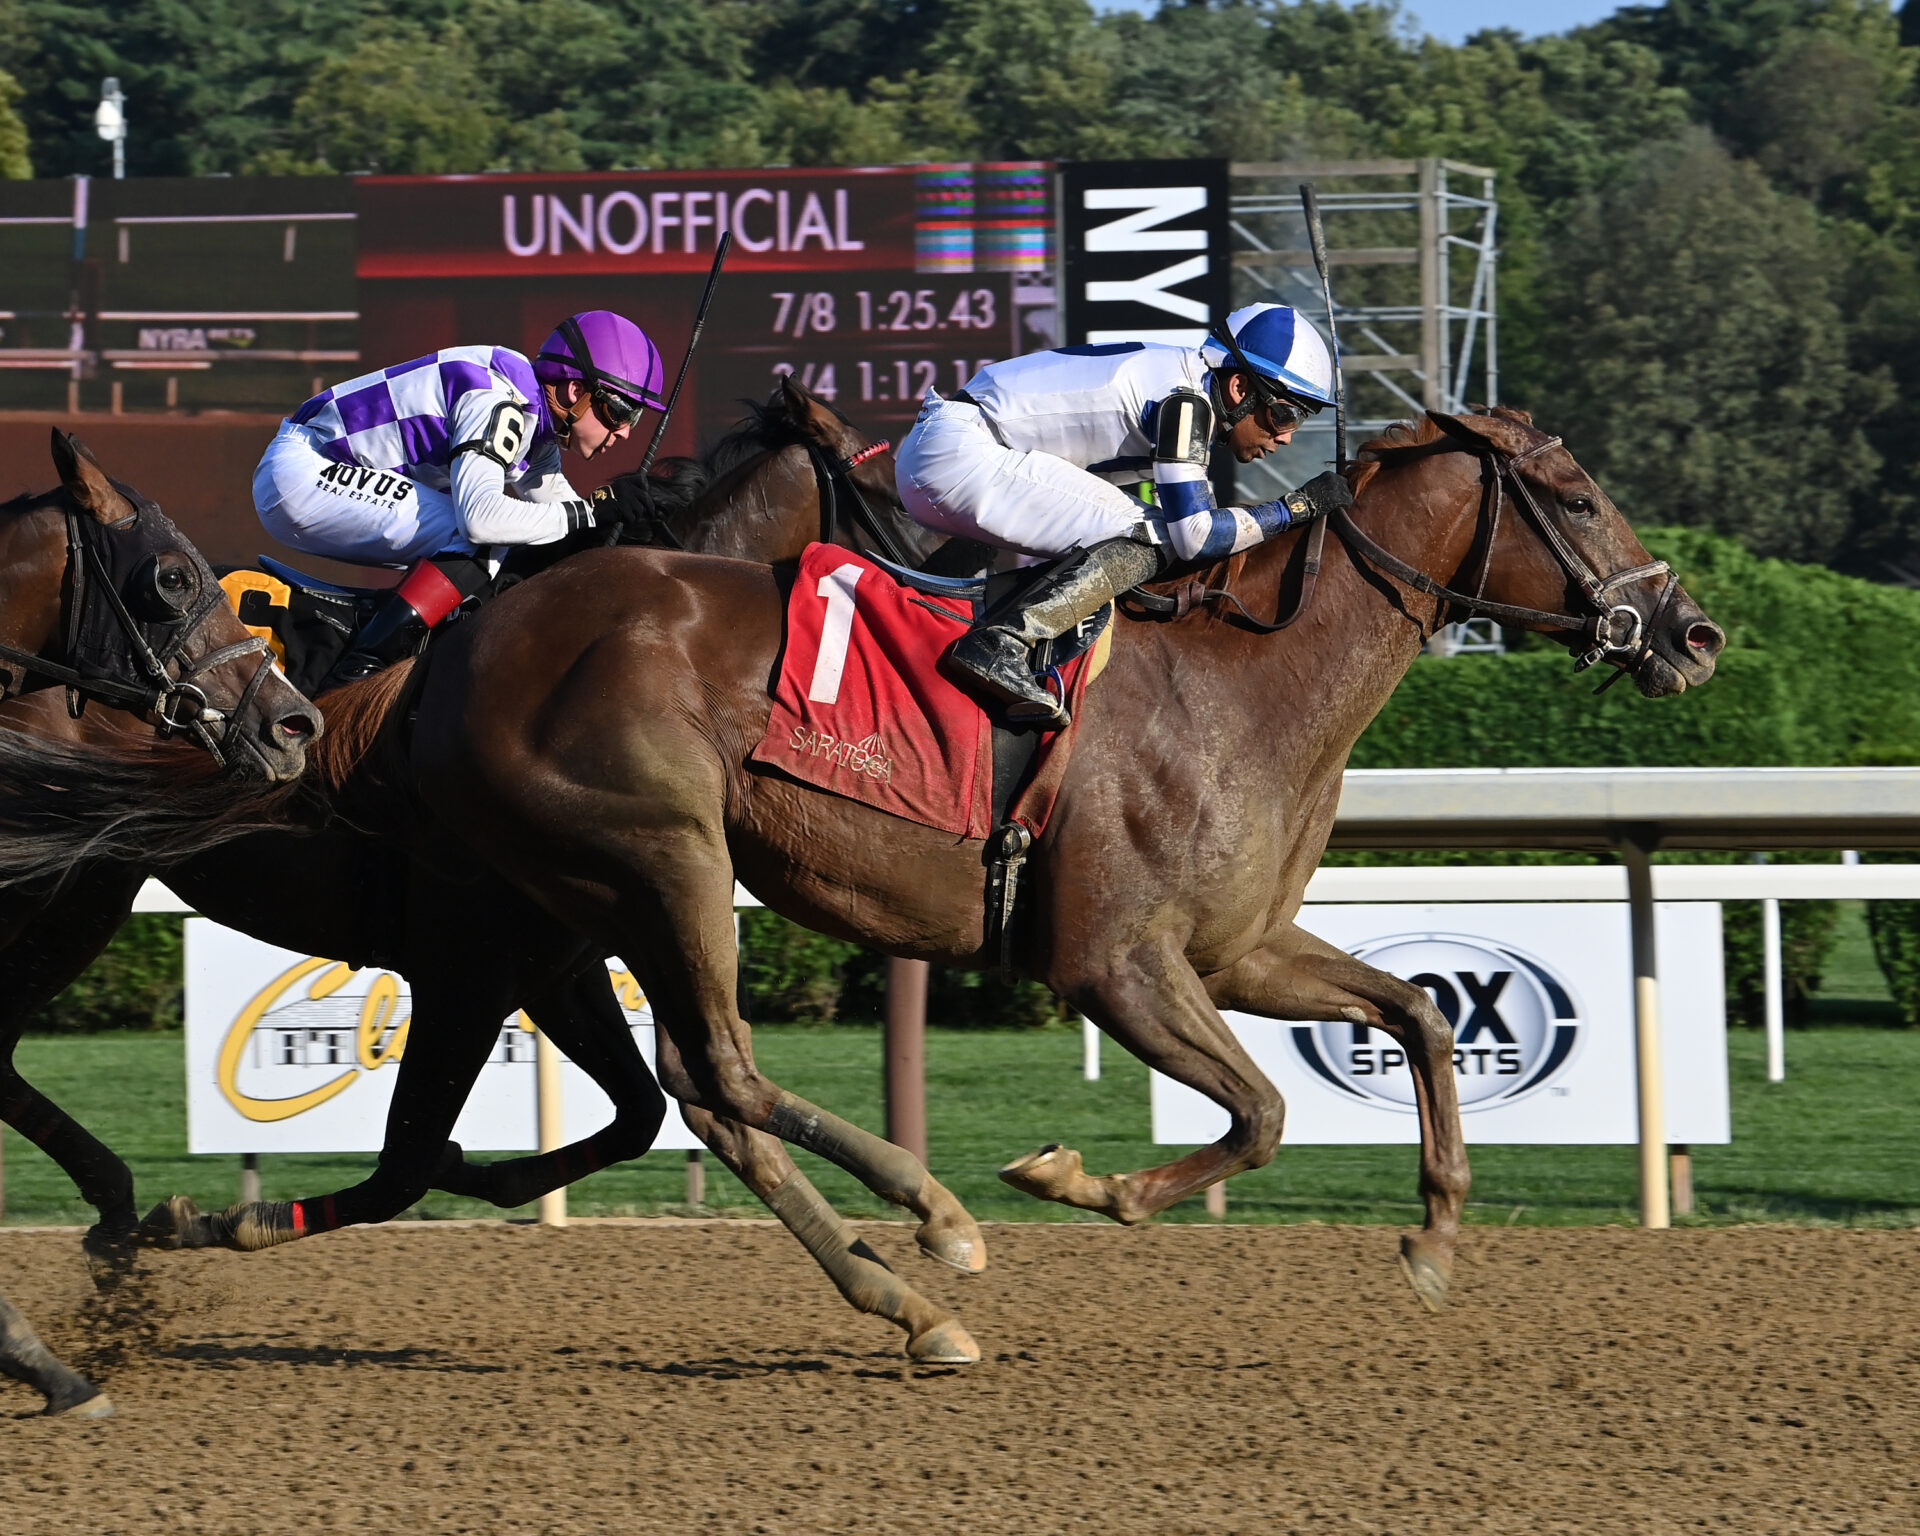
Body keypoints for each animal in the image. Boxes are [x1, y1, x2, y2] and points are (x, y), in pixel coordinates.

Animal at [407, 407, 1725, 1336]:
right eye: (1578, 497)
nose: (1695, 634)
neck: (1243, 682)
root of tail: (471, 640)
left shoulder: (1237, 951)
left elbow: (1417, 1014)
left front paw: (1437, 1237)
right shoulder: (1114, 964)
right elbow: (1262, 1111)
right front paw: (1078, 1180)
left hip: (596, 896)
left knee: (697, 1087)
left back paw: (902, 1297)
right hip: (664, 858)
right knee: (721, 1070)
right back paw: (936, 1228)